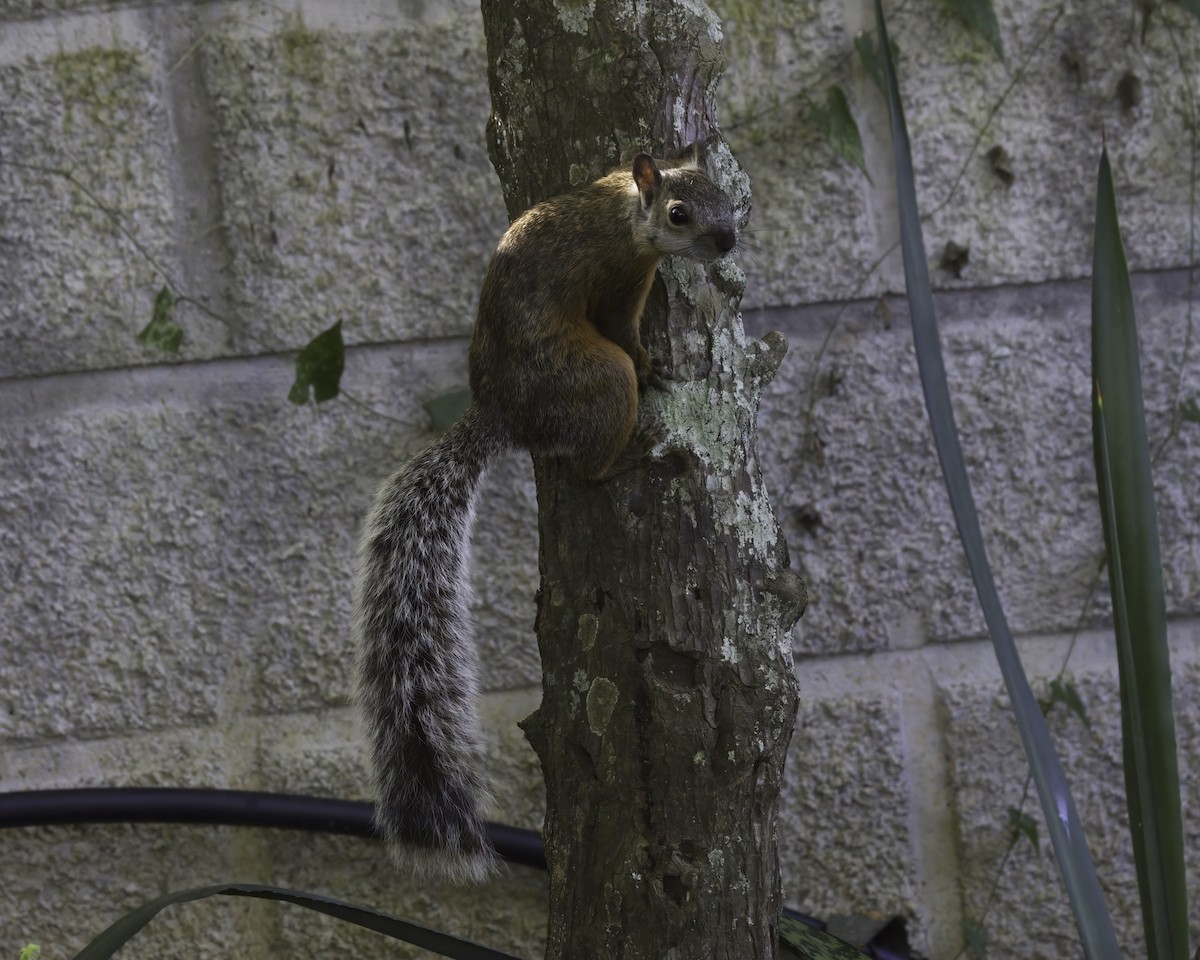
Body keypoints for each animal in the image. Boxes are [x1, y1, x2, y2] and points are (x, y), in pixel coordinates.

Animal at [352, 145, 737, 882]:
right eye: (680, 214)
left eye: (727, 196)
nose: (728, 242)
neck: (625, 211)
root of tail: (504, 410)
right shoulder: (618, 279)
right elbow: (624, 329)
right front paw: (652, 362)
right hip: (593, 377)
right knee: (593, 452)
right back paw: (628, 453)